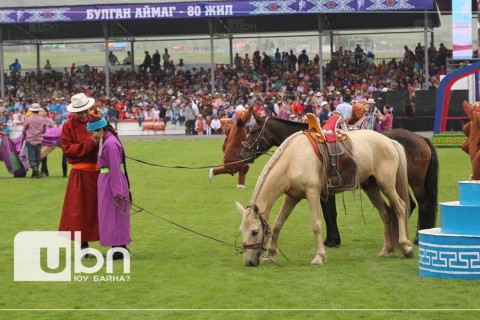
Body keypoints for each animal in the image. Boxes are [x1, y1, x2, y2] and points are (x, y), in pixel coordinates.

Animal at [236, 131, 412, 268]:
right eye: (241, 231)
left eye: (255, 231)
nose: (249, 262)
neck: (293, 159)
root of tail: (389, 141)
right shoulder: (292, 197)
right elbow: (278, 223)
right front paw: (271, 254)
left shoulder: (312, 193)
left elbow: (316, 225)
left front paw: (319, 257)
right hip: (371, 186)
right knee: (385, 213)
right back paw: (385, 250)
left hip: (386, 185)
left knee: (400, 207)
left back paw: (406, 247)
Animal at [240, 114, 438, 246]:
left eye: (253, 131)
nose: (243, 154)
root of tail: (421, 138)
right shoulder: (324, 191)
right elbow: (328, 214)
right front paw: (331, 239)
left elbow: (330, 214)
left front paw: (332, 241)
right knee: (410, 204)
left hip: (414, 183)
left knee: (423, 205)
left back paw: (417, 238)